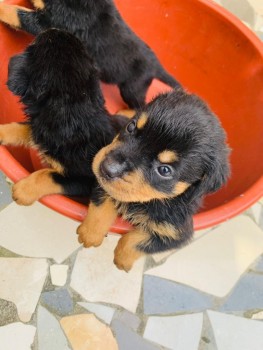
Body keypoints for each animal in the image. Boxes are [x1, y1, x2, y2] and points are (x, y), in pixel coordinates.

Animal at [0, 29, 127, 205]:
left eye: (41, 40)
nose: (55, 29)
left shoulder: (86, 180)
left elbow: (50, 175)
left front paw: (23, 190)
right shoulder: (39, 129)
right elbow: (22, 127)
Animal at [77, 89, 231, 272]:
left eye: (164, 170)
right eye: (131, 127)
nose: (107, 168)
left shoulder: (176, 234)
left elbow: (136, 241)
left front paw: (122, 260)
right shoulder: (105, 186)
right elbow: (101, 207)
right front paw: (89, 234)